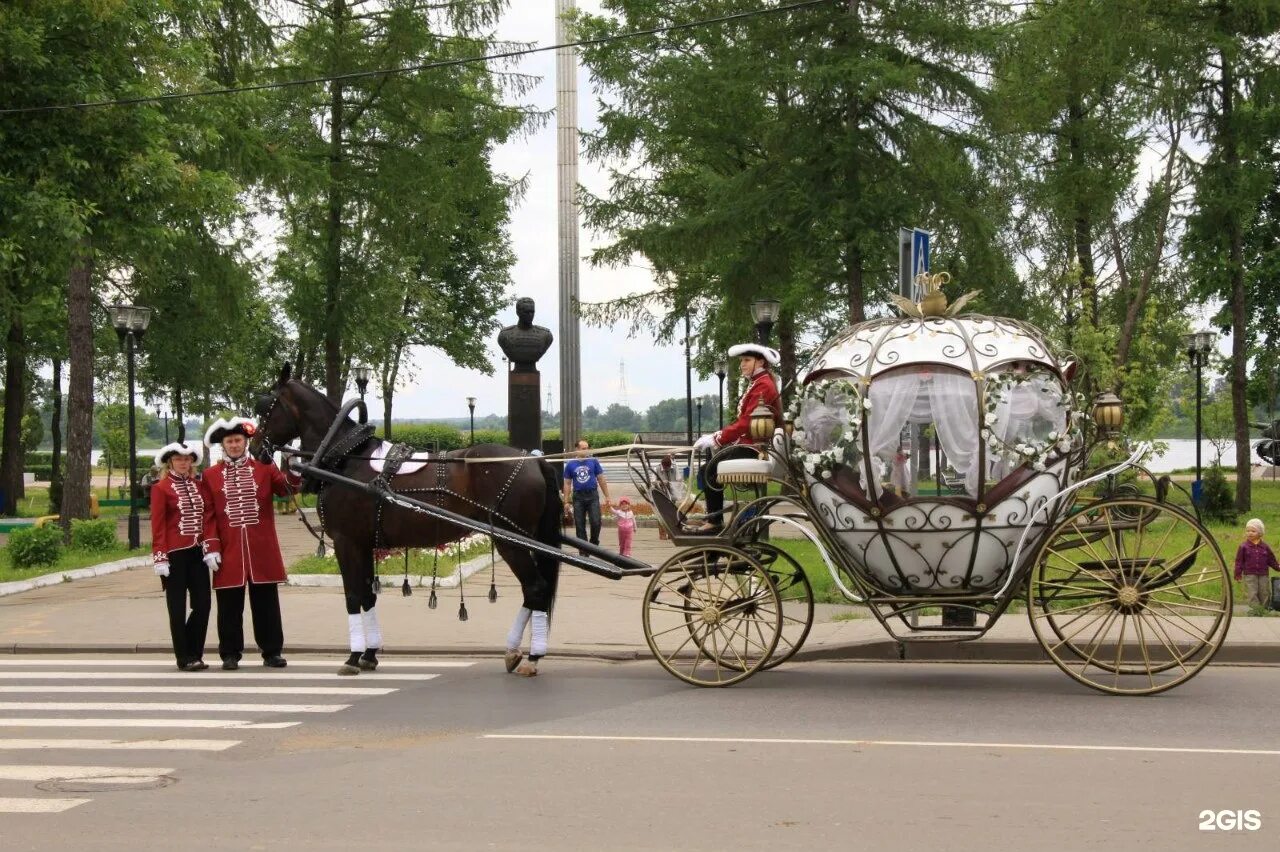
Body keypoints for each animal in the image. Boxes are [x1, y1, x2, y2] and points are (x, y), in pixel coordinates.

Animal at [249, 360, 560, 675]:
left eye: (264, 407)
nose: (254, 448)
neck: (345, 458)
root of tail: (534, 459)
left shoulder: (346, 542)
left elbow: (352, 596)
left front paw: (352, 657)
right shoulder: (363, 543)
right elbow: (368, 595)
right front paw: (370, 653)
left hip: (512, 541)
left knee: (535, 589)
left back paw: (531, 657)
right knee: (533, 591)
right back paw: (515, 652)